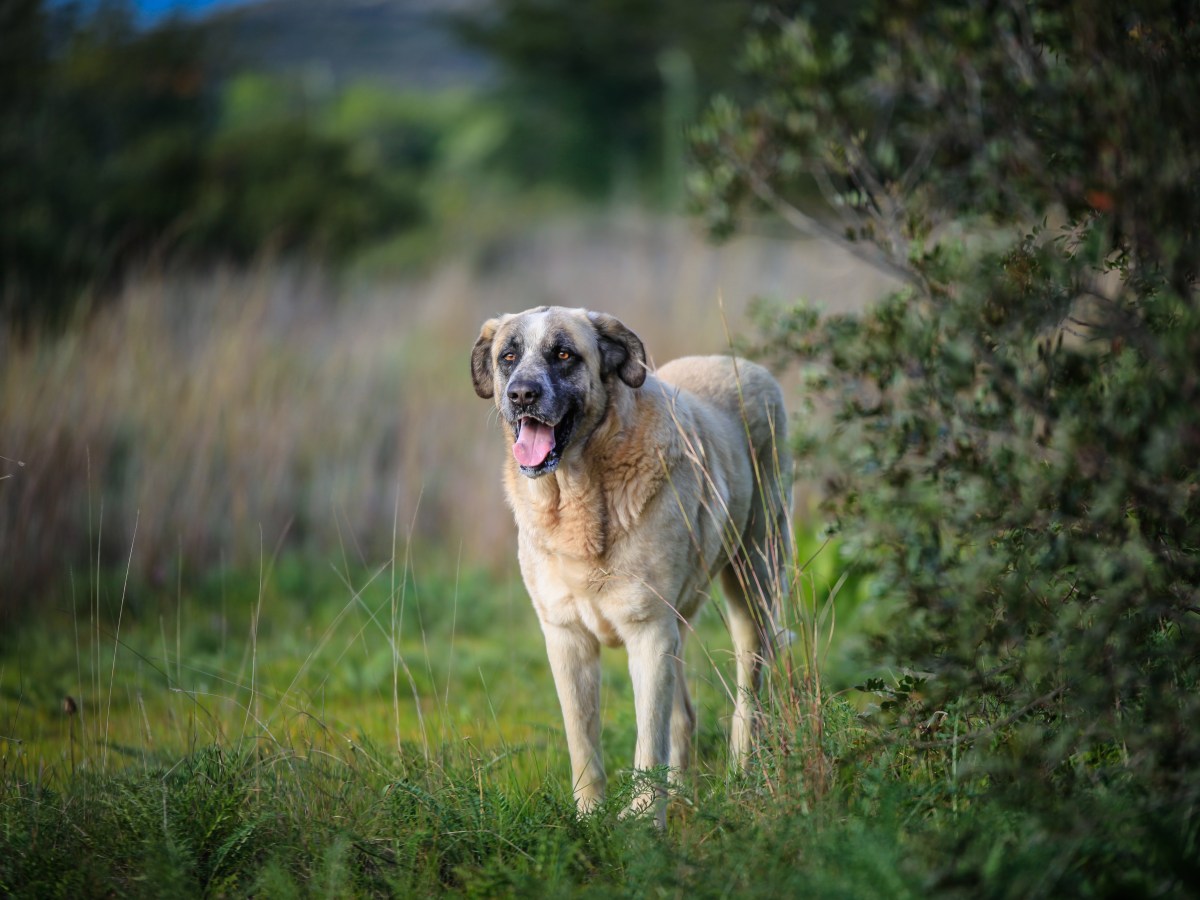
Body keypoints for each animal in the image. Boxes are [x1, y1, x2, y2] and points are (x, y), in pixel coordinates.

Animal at [472, 309, 792, 825]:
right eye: (508, 356)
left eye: (564, 354)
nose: (521, 394)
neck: (578, 496)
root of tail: (743, 364)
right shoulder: (567, 638)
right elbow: (583, 741)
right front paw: (590, 818)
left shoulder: (649, 634)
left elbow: (648, 742)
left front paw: (643, 822)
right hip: (681, 622)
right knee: (684, 716)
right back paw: (681, 795)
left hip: (753, 584)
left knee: (748, 697)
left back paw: (740, 777)